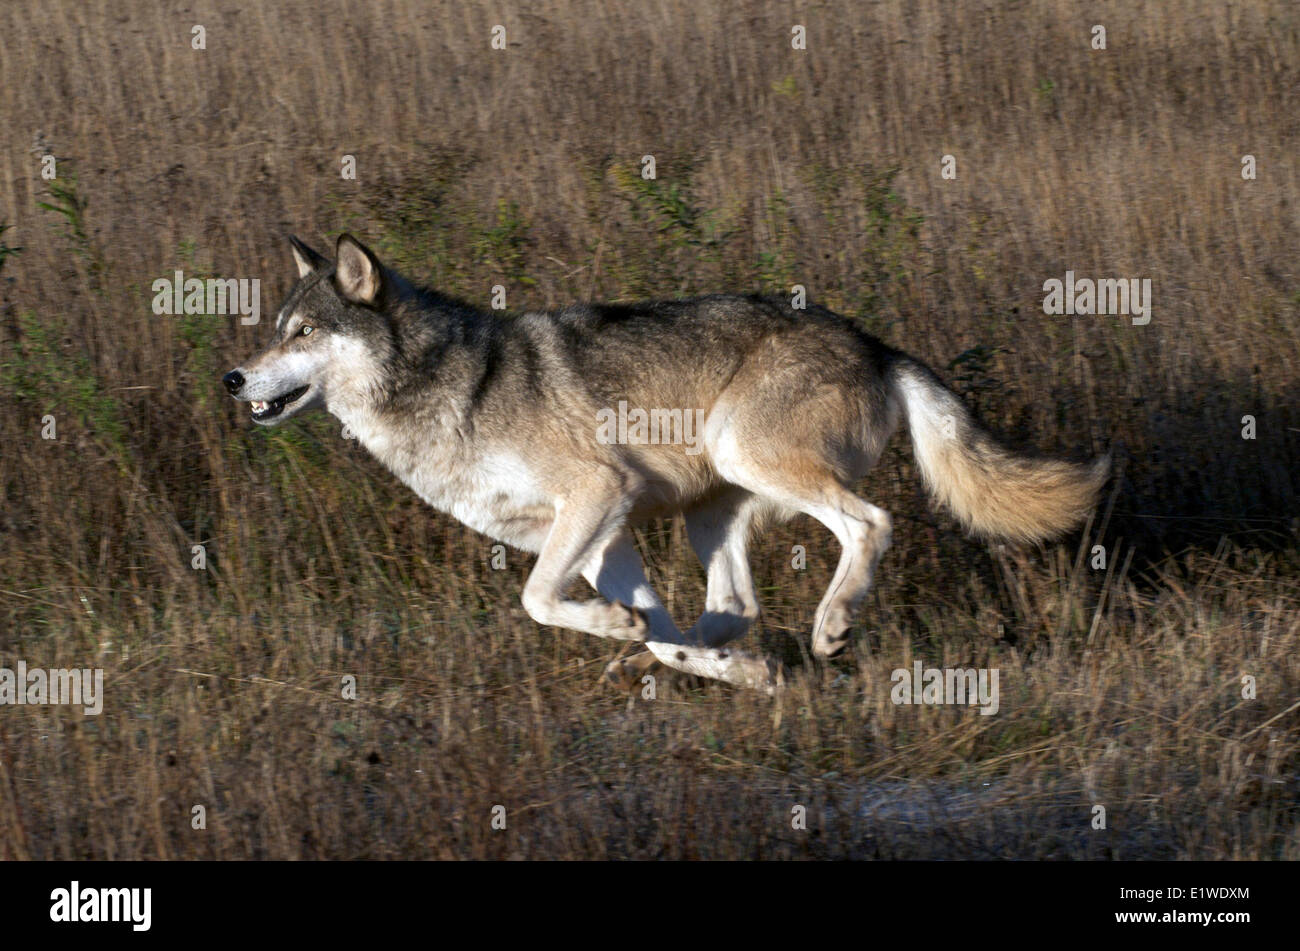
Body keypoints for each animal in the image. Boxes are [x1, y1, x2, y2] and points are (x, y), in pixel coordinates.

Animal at [220, 229, 1107, 691]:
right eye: (275, 330)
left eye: (303, 333)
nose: (232, 378)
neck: (449, 388)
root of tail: (875, 342)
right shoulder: (603, 533)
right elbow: (636, 626)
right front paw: (705, 660)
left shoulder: (595, 496)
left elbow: (537, 600)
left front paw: (622, 628)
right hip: (709, 513)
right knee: (734, 604)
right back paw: (731, 650)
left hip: (747, 455)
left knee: (870, 524)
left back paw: (829, 626)